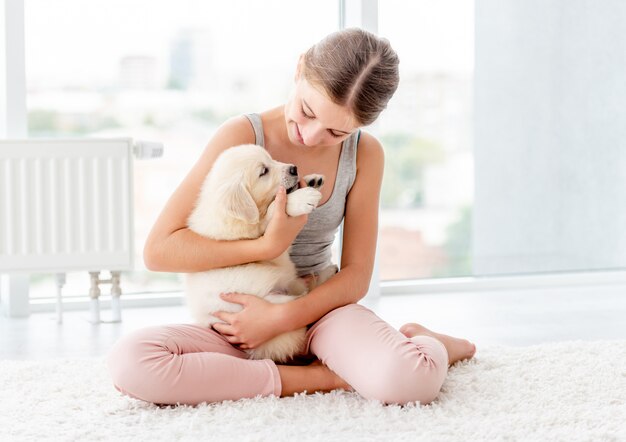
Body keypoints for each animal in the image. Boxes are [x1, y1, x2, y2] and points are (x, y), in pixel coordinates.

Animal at [184, 144, 336, 362]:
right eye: (263, 171)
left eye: (271, 159)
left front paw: (311, 182)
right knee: (303, 299)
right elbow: (274, 210)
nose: (294, 168)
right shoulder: (261, 236)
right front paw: (301, 198)